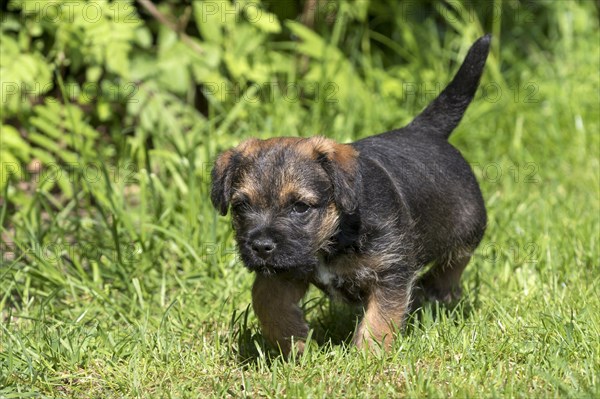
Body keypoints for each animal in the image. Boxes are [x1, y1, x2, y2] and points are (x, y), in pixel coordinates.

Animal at [213, 35, 490, 356]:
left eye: (300, 207)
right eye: (241, 206)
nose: (260, 246)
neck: (335, 235)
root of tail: (423, 131)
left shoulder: (390, 271)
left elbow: (380, 318)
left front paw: (368, 357)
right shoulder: (286, 268)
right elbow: (264, 300)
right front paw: (294, 342)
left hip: (468, 225)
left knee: (455, 260)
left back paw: (436, 289)